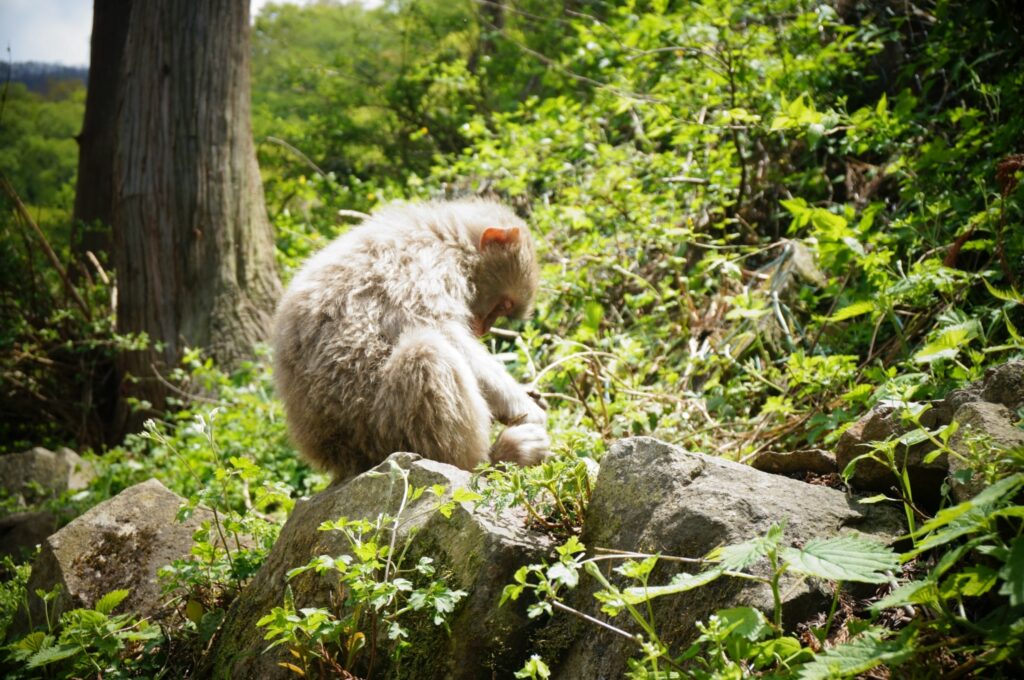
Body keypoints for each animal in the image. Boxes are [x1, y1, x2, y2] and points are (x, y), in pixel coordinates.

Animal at [268, 199, 548, 481]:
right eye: (503, 305)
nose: (481, 328)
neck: (447, 237)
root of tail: (338, 460)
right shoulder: (424, 265)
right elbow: (441, 329)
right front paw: (521, 405)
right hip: (381, 431)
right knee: (427, 352)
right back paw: (489, 462)